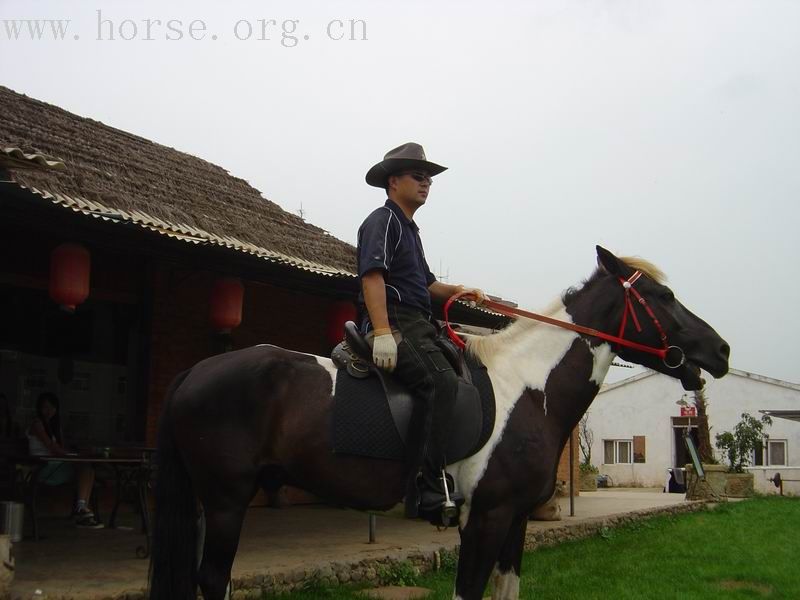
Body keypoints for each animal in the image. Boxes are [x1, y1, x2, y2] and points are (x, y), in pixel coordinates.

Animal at [150, 247, 732, 600]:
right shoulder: (486, 517)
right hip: (226, 500)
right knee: (212, 579)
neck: (528, 388)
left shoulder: (516, 519)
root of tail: (193, 372)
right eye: (662, 297)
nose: (721, 351)